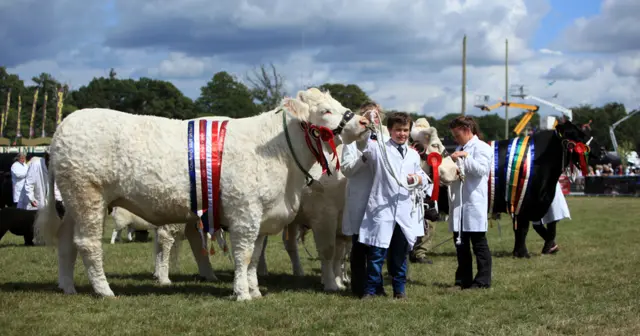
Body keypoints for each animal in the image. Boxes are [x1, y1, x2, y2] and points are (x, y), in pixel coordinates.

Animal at [33, 88, 370, 300]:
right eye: (326, 110)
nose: (364, 121)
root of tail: (64, 126)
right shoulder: (246, 212)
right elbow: (243, 253)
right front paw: (242, 294)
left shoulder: (262, 216)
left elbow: (254, 255)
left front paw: (254, 289)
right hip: (88, 196)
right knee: (88, 244)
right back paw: (105, 291)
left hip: (74, 203)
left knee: (66, 242)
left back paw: (67, 287)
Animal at [260, 117, 460, 288]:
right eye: (435, 144)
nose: (457, 170)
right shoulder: (325, 217)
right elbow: (329, 251)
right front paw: (331, 283)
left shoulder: (342, 225)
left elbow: (340, 254)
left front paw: (340, 280)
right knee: (264, 243)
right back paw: (263, 271)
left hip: (292, 219)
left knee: (289, 245)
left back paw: (298, 271)